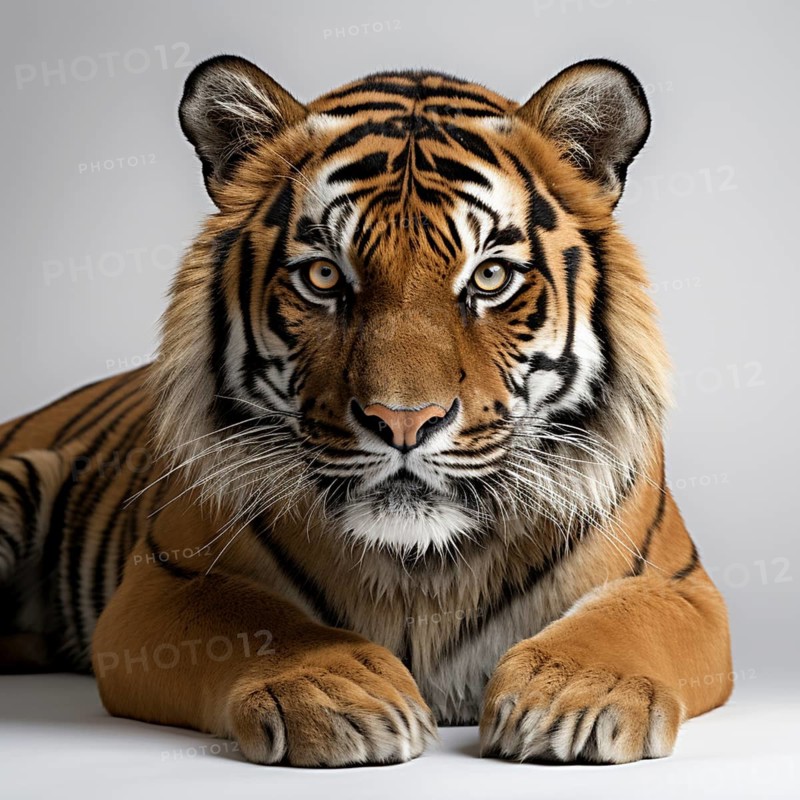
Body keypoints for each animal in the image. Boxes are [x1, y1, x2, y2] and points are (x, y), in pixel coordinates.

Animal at [0, 55, 732, 767]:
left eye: (490, 277)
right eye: (324, 276)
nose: (404, 421)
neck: (421, 570)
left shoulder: (682, 585)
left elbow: (625, 619)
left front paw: (577, 696)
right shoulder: (164, 582)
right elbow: (256, 621)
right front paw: (335, 690)